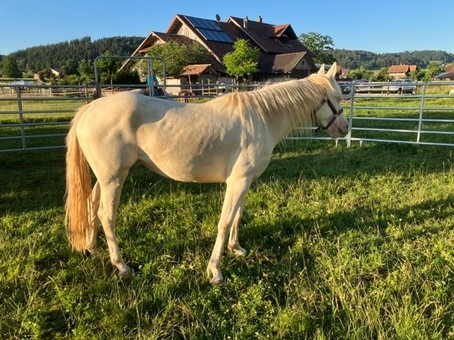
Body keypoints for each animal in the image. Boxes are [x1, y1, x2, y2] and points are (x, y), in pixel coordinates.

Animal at [63, 63, 348, 284]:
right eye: (337, 96)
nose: (345, 128)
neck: (261, 118)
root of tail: (89, 110)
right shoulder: (237, 181)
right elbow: (224, 221)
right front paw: (215, 270)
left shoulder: (244, 182)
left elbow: (237, 216)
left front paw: (236, 249)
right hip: (114, 179)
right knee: (106, 215)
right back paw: (121, 266)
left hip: (105, 178)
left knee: (91, 205)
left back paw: (91, 250)